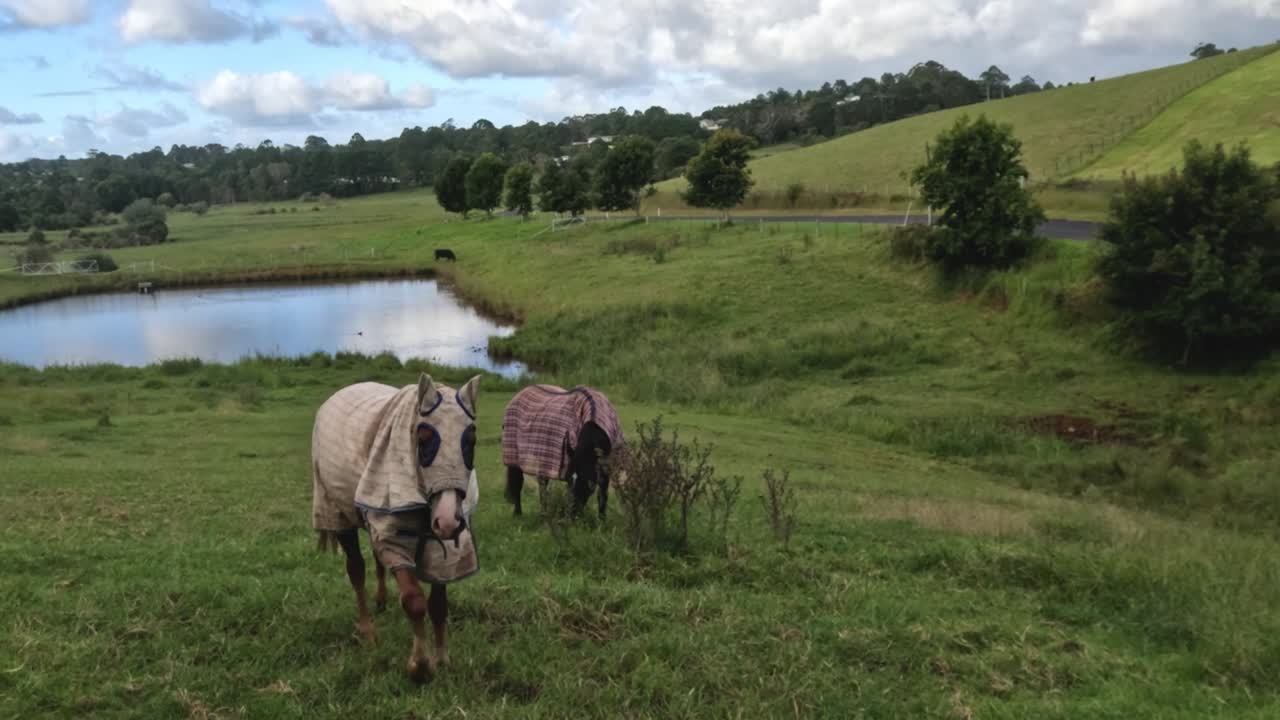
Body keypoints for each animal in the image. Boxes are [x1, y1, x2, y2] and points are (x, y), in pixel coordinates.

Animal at [312, 373, 481, 682]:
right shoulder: (393, 540)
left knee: (375, 560)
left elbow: (438, 606)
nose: (448, 520)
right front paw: (420, 666)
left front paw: (443, 659)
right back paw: (367, 631)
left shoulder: (442, 551)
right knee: (356, 570)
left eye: (471, 441)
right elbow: (414, 601)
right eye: (423, 439)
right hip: (339, 515)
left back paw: (380, 600)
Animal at [501, 384, 624, 518]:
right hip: (514, 458)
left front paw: (602, 520)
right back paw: (518, 514)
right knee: (517, 483)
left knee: (542, 485)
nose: (573, 514)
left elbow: (602, 496)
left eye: (590, 484)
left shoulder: (606, 468)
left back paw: (544, 513)